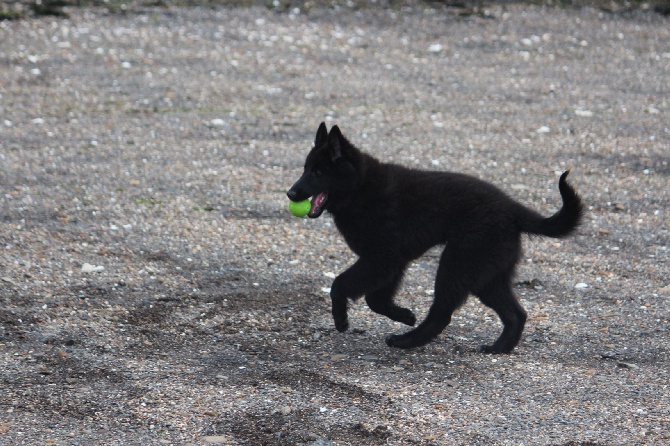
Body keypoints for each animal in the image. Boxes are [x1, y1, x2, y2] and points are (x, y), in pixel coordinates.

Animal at [288, 122, 584, 352]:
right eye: (304, 168)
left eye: (317, 172)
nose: (290, 194)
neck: (361, 188)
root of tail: (513, 209)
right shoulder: (391, 263)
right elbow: (376, 299)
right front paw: (404, 315)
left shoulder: (382, 258)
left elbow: (341, 285)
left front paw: (342, 319)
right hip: (486, 275)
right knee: (516, 314)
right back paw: (499, 348)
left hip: (457, 264)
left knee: (442, 313)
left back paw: (407, 341)